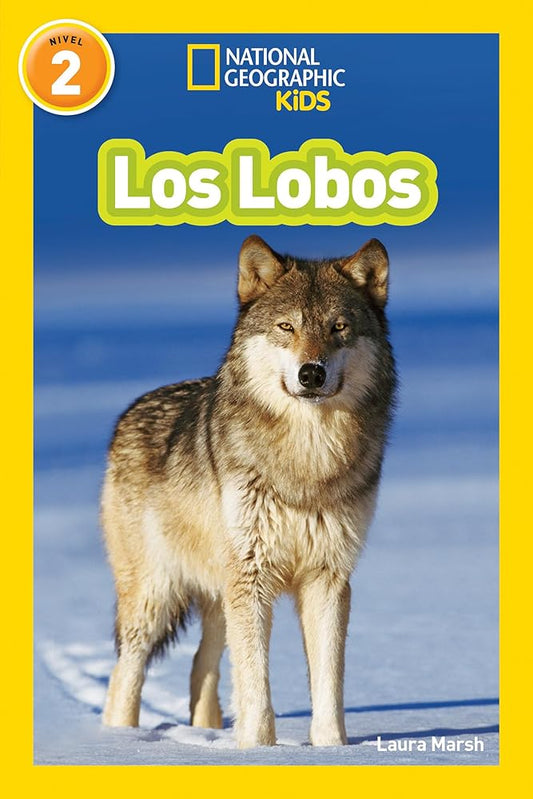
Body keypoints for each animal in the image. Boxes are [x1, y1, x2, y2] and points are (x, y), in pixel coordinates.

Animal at [101, 235, 396, 748]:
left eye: (338, 328)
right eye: (286, 327)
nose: (311, 373)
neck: (306, 460)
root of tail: (129, 411)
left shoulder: (326, 578)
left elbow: (328, 682)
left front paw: (332, 749)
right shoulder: (253, 577)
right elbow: (256, 685)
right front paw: (258, 750)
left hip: (219, 596)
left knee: (203, 666)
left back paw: (204, 733)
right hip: (155, 595)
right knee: (126, 673)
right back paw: (119, 742)